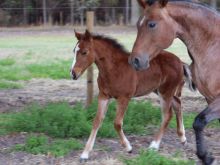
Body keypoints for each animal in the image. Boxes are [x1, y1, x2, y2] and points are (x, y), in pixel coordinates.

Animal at [71, 29, 194, 161]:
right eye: (74, 51)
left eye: (84, 52)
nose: (73, 73)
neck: (114, 68)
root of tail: (179, 61)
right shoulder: (103, 96)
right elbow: (97, 121)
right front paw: (85, 154)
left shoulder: (124, 98)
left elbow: (117, 123)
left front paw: (128, 147)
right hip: (160, 90)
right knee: (177, 103)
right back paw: (182, 138)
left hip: (166, 92)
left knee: (167, 115)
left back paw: (154, 145)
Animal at [129, 0, 220, 165]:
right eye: (138, 24)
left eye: (152, 24)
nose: (135, 61)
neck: (214, 49)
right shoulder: (210, 99)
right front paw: (206, 157)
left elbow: (199, 121)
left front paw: (206, 156)